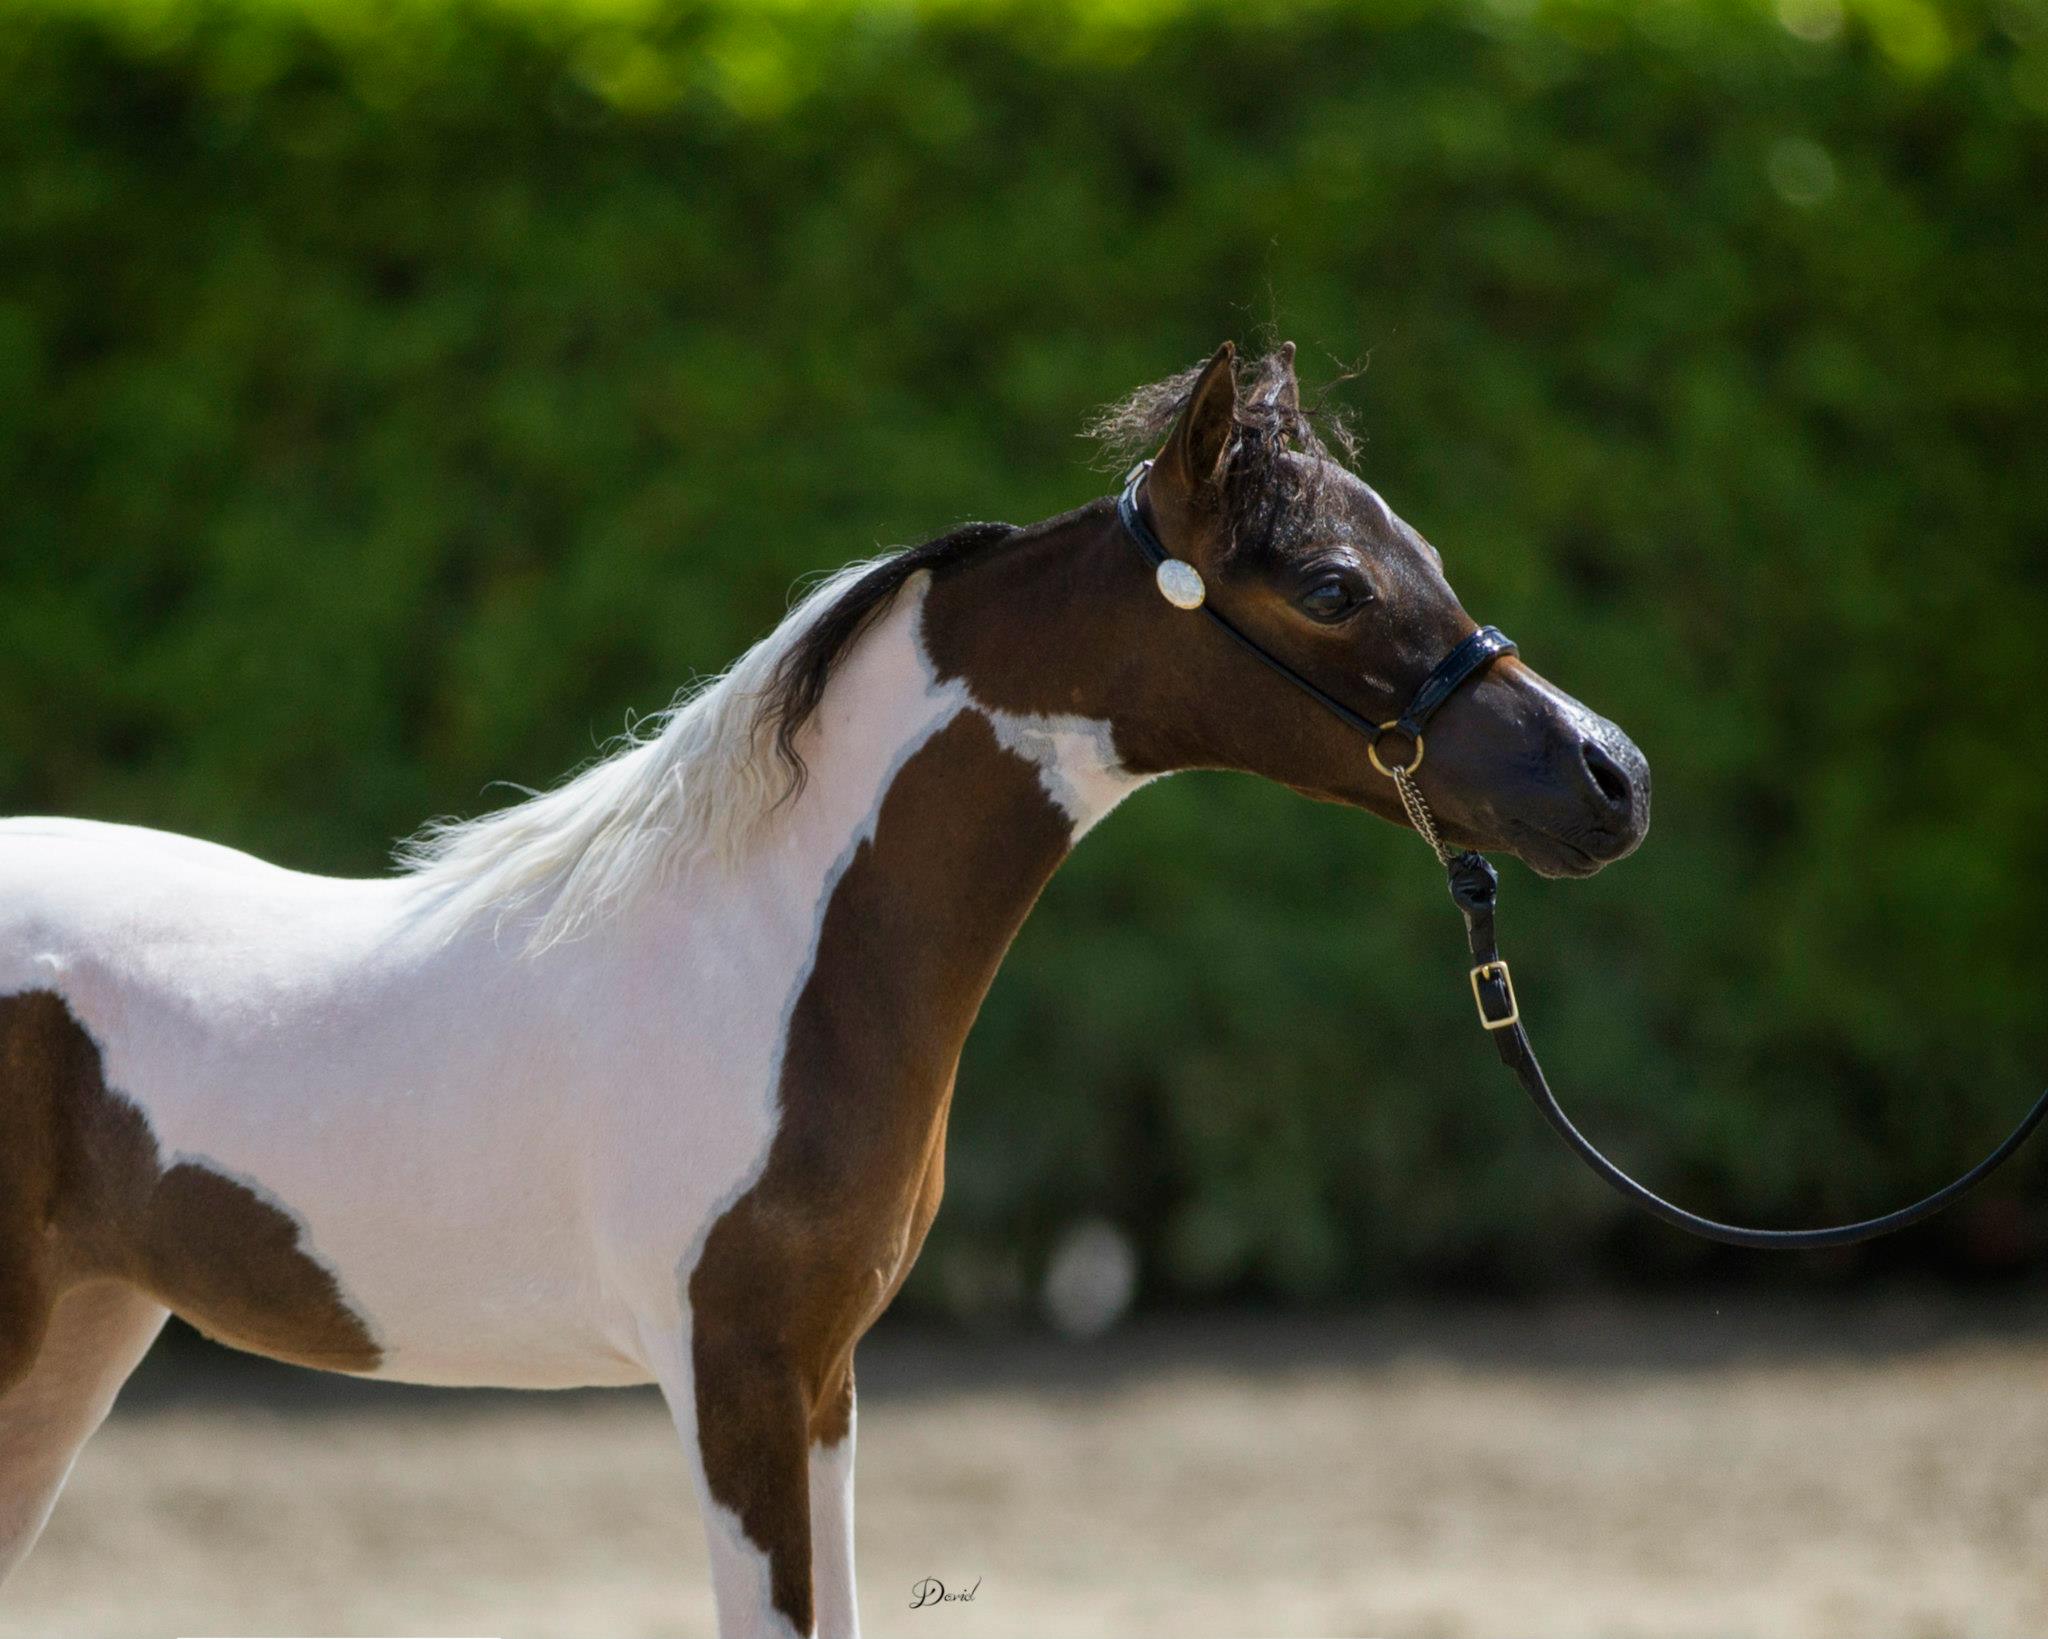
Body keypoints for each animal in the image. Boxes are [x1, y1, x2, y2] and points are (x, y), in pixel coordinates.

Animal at [0, 340, 1648, 1638]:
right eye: (1329, 583)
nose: (1611, 774)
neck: (762, 962)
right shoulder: (729, 1372)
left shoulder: (824, 1377)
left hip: (81, 1338)